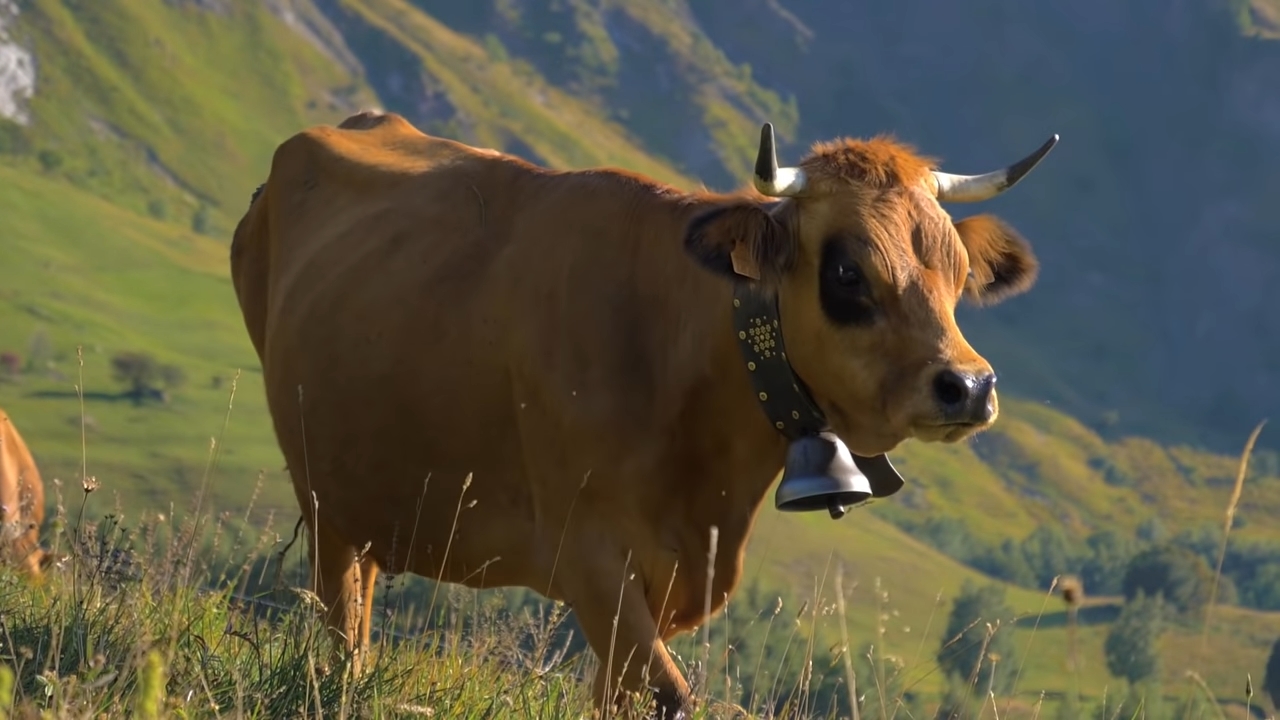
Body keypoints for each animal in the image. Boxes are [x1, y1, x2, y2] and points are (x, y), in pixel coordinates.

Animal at [229, 110, 1058, 719]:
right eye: (848, 271)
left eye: (956, 269)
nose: (968, 386)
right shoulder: (587, 551)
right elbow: (667, 695)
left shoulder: (669, 577)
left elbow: (619, 696)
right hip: (322, 494)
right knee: (343, 623)